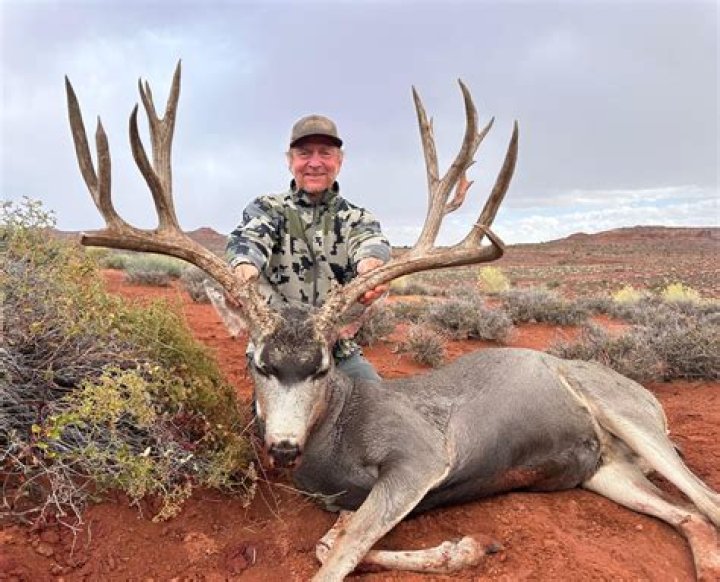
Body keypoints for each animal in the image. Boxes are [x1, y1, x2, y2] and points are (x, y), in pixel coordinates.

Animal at [65, 62, 719, 582]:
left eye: (321, 365)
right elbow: (334, 540)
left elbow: (340, 552)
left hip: (628, 415)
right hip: (606, 470)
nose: (281, 446)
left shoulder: (421, 455)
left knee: (706, 498)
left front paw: (460, 546)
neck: (337, 437)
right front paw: (467, 546)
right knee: (691, 515)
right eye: (256, 362)